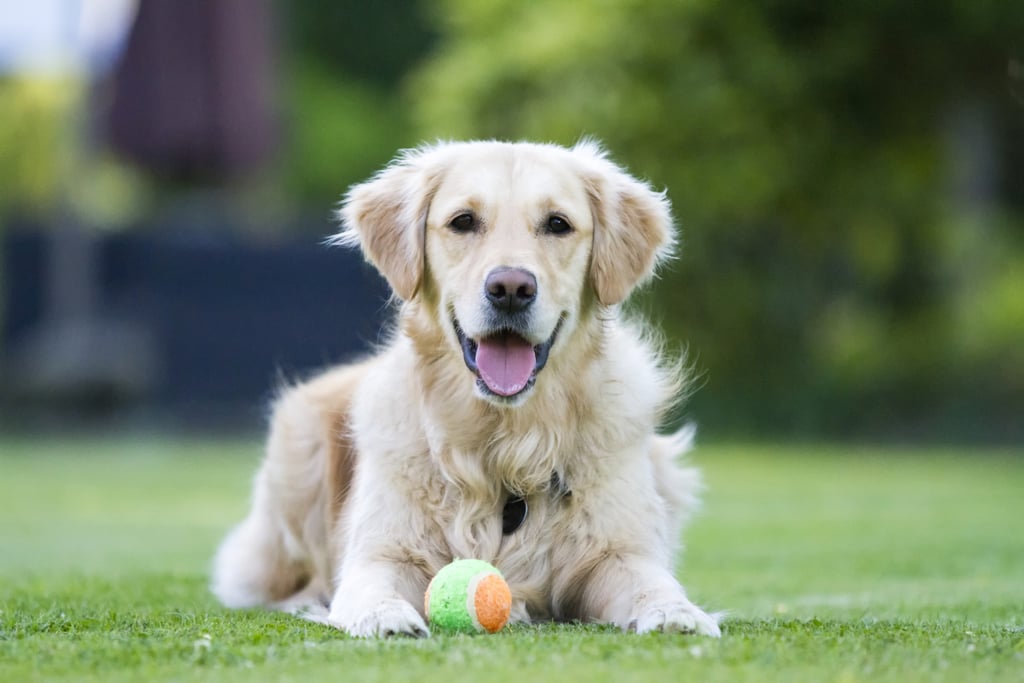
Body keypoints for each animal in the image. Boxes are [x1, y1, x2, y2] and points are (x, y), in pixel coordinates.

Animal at [211, 141, 720, 638]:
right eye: (463, 221)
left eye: (558, 224)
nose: (511, 288)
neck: (506, 440)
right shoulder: (382, 550)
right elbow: (371, 585)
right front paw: (384, 616)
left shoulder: (619, 550)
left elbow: (652, 582)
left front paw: (679, 612)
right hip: (299, 456)